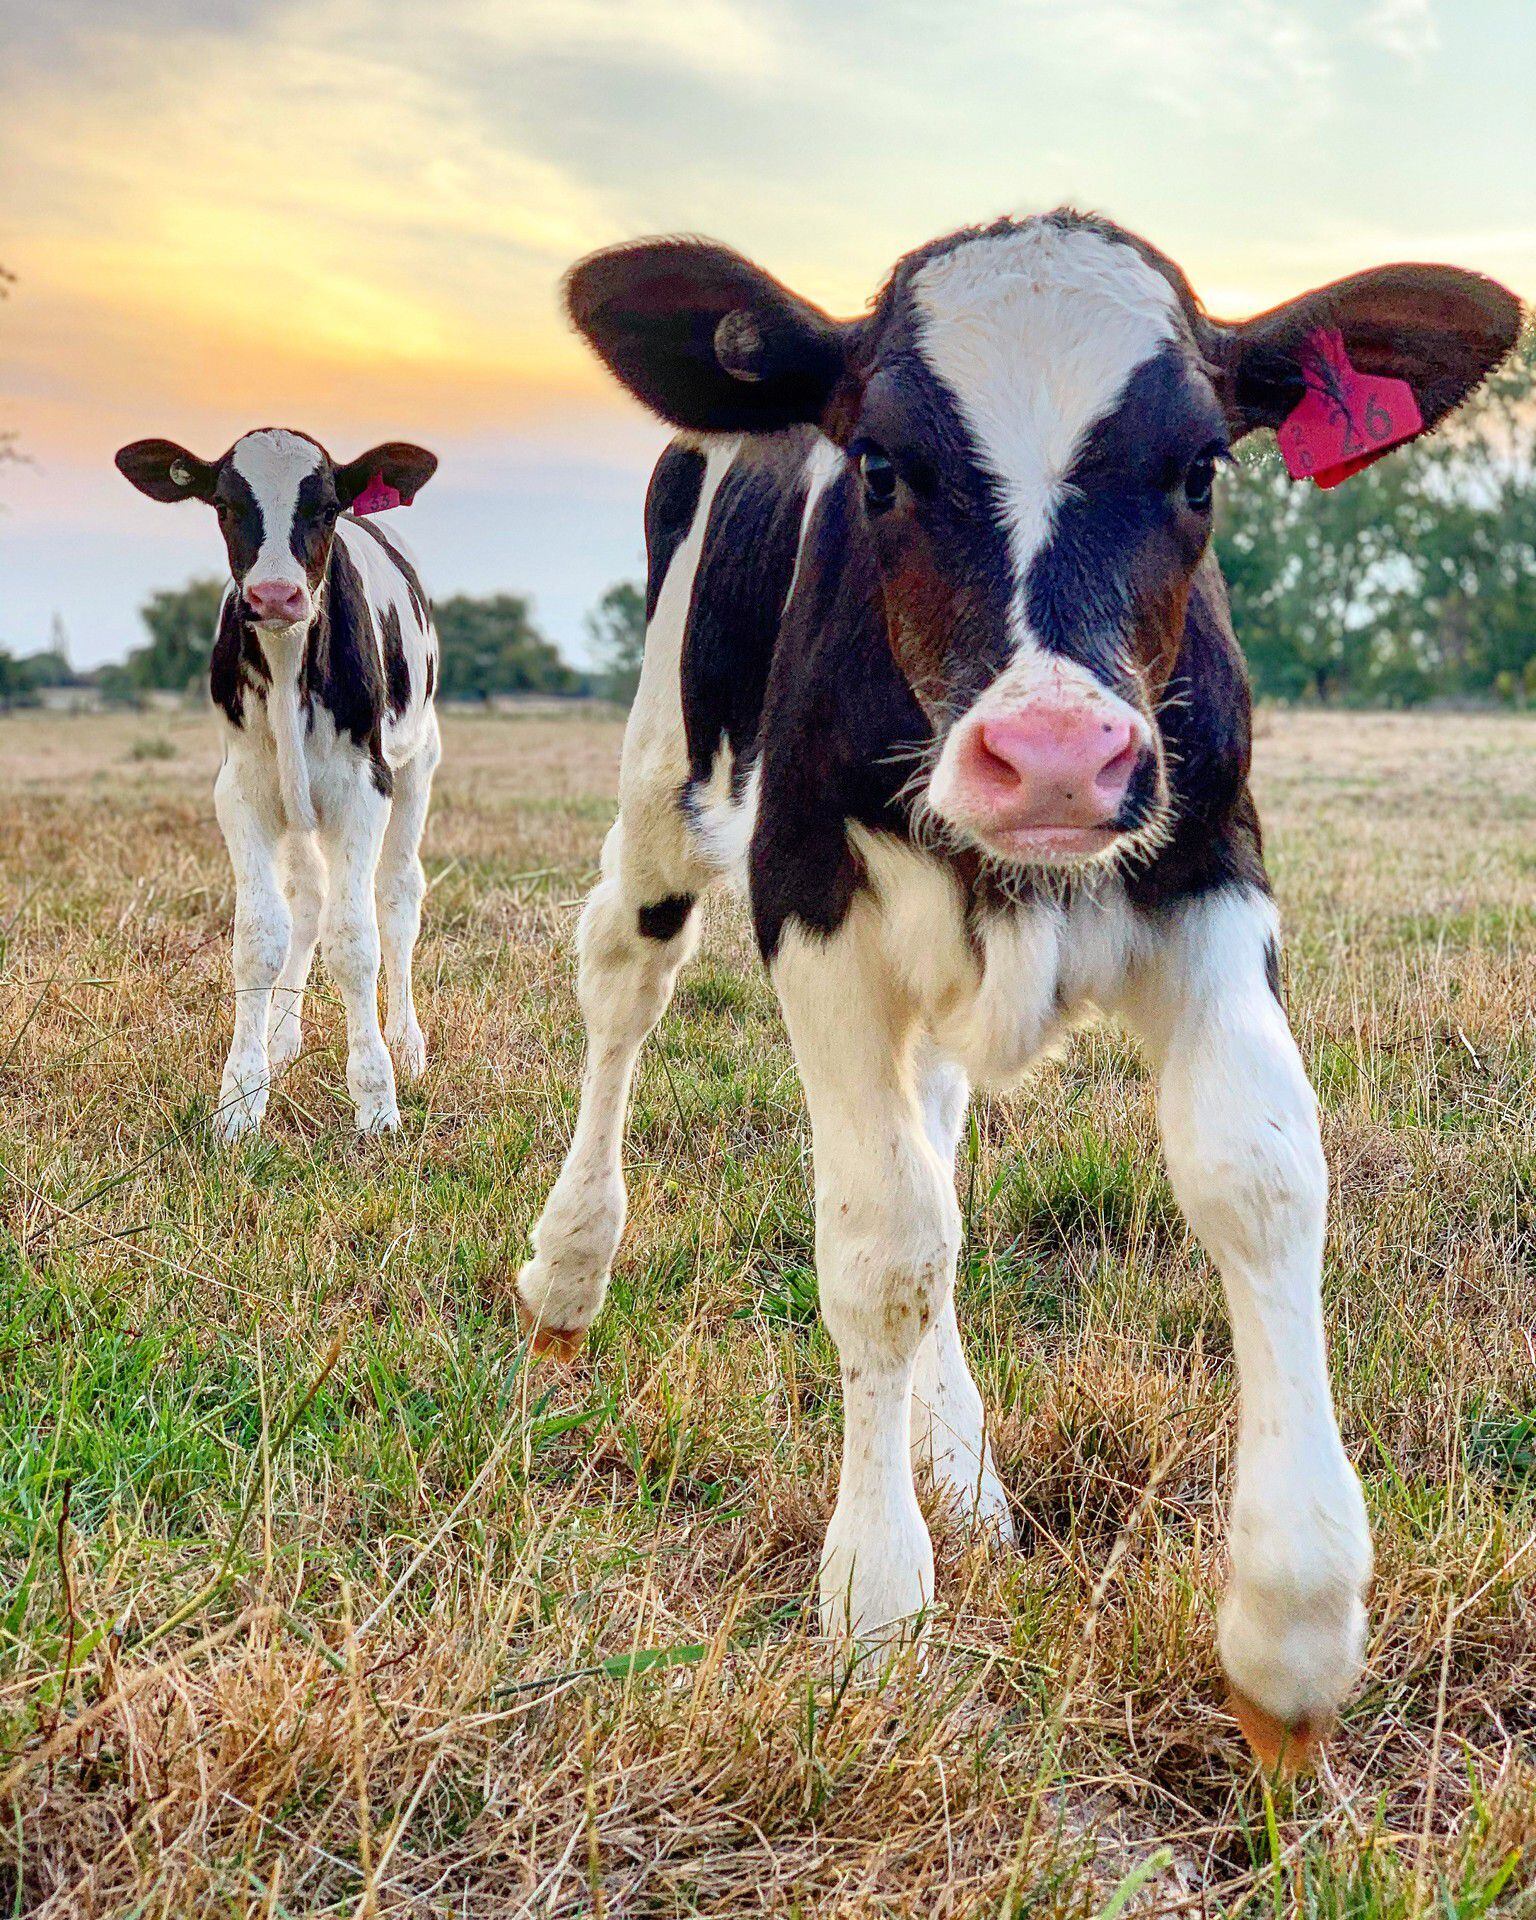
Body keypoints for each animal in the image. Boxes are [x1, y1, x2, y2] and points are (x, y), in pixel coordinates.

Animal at [117, 428, 441, 1128]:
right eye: (224, 505)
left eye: (327, 508)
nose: (273, 595)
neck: (292, 659)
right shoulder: (241, 791)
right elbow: (262, 935)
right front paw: (241, 1094)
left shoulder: (365, 787)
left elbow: (355, 937)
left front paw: (375, 1096)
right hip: (295, 804)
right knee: (308, 899)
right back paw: (285, 1038)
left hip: (418, 762)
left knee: (398, 897)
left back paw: (406, 1045)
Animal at [522, 214, 1520, 1766]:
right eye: (879, 465)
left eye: (1201, 468)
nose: (1054, 754)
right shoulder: (806, 899)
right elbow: (881, 1246)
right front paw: (876, 1601)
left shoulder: (1213, 871)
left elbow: (1258, 1175)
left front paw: (1292, 1623)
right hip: (665, 761)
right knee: (629, 976)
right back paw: (569, 1276)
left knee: (932, 1126)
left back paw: (961, 1464)